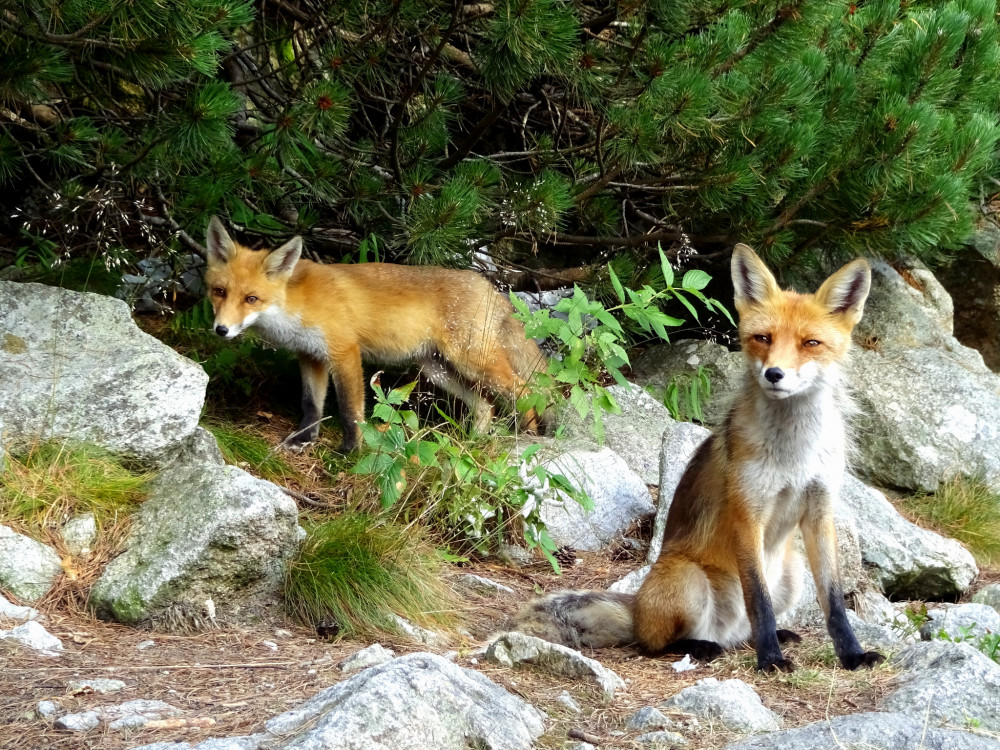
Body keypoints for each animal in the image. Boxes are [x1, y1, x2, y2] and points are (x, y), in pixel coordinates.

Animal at [204, 217, 548, 452]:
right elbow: (311, 404)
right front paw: (304, 440)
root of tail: (491, 288)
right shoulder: (310, 356)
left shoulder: (344, 352)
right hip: (437, 370)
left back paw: (527, 436)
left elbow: (350, 411)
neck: (294, 305)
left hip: (472, 361)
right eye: (219, 292)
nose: (221, 330)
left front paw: (352, 451)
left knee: (528, 392)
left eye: (251, 299)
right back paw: (472, 443)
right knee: (485, 406)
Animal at [516, 247, 884, 676]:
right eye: (763, 338)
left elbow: (835, 603)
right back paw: (705, 645)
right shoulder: (747, 513)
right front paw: (771, 660)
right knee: (657, 643)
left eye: (811, 343)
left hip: (792, 573)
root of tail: (637, 608)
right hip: (689, 582)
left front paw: (853, 654)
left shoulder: (820, 511)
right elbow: (759, 601)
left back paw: (767, 637)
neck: (795, 455)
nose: (774, 374)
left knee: (742, 631)